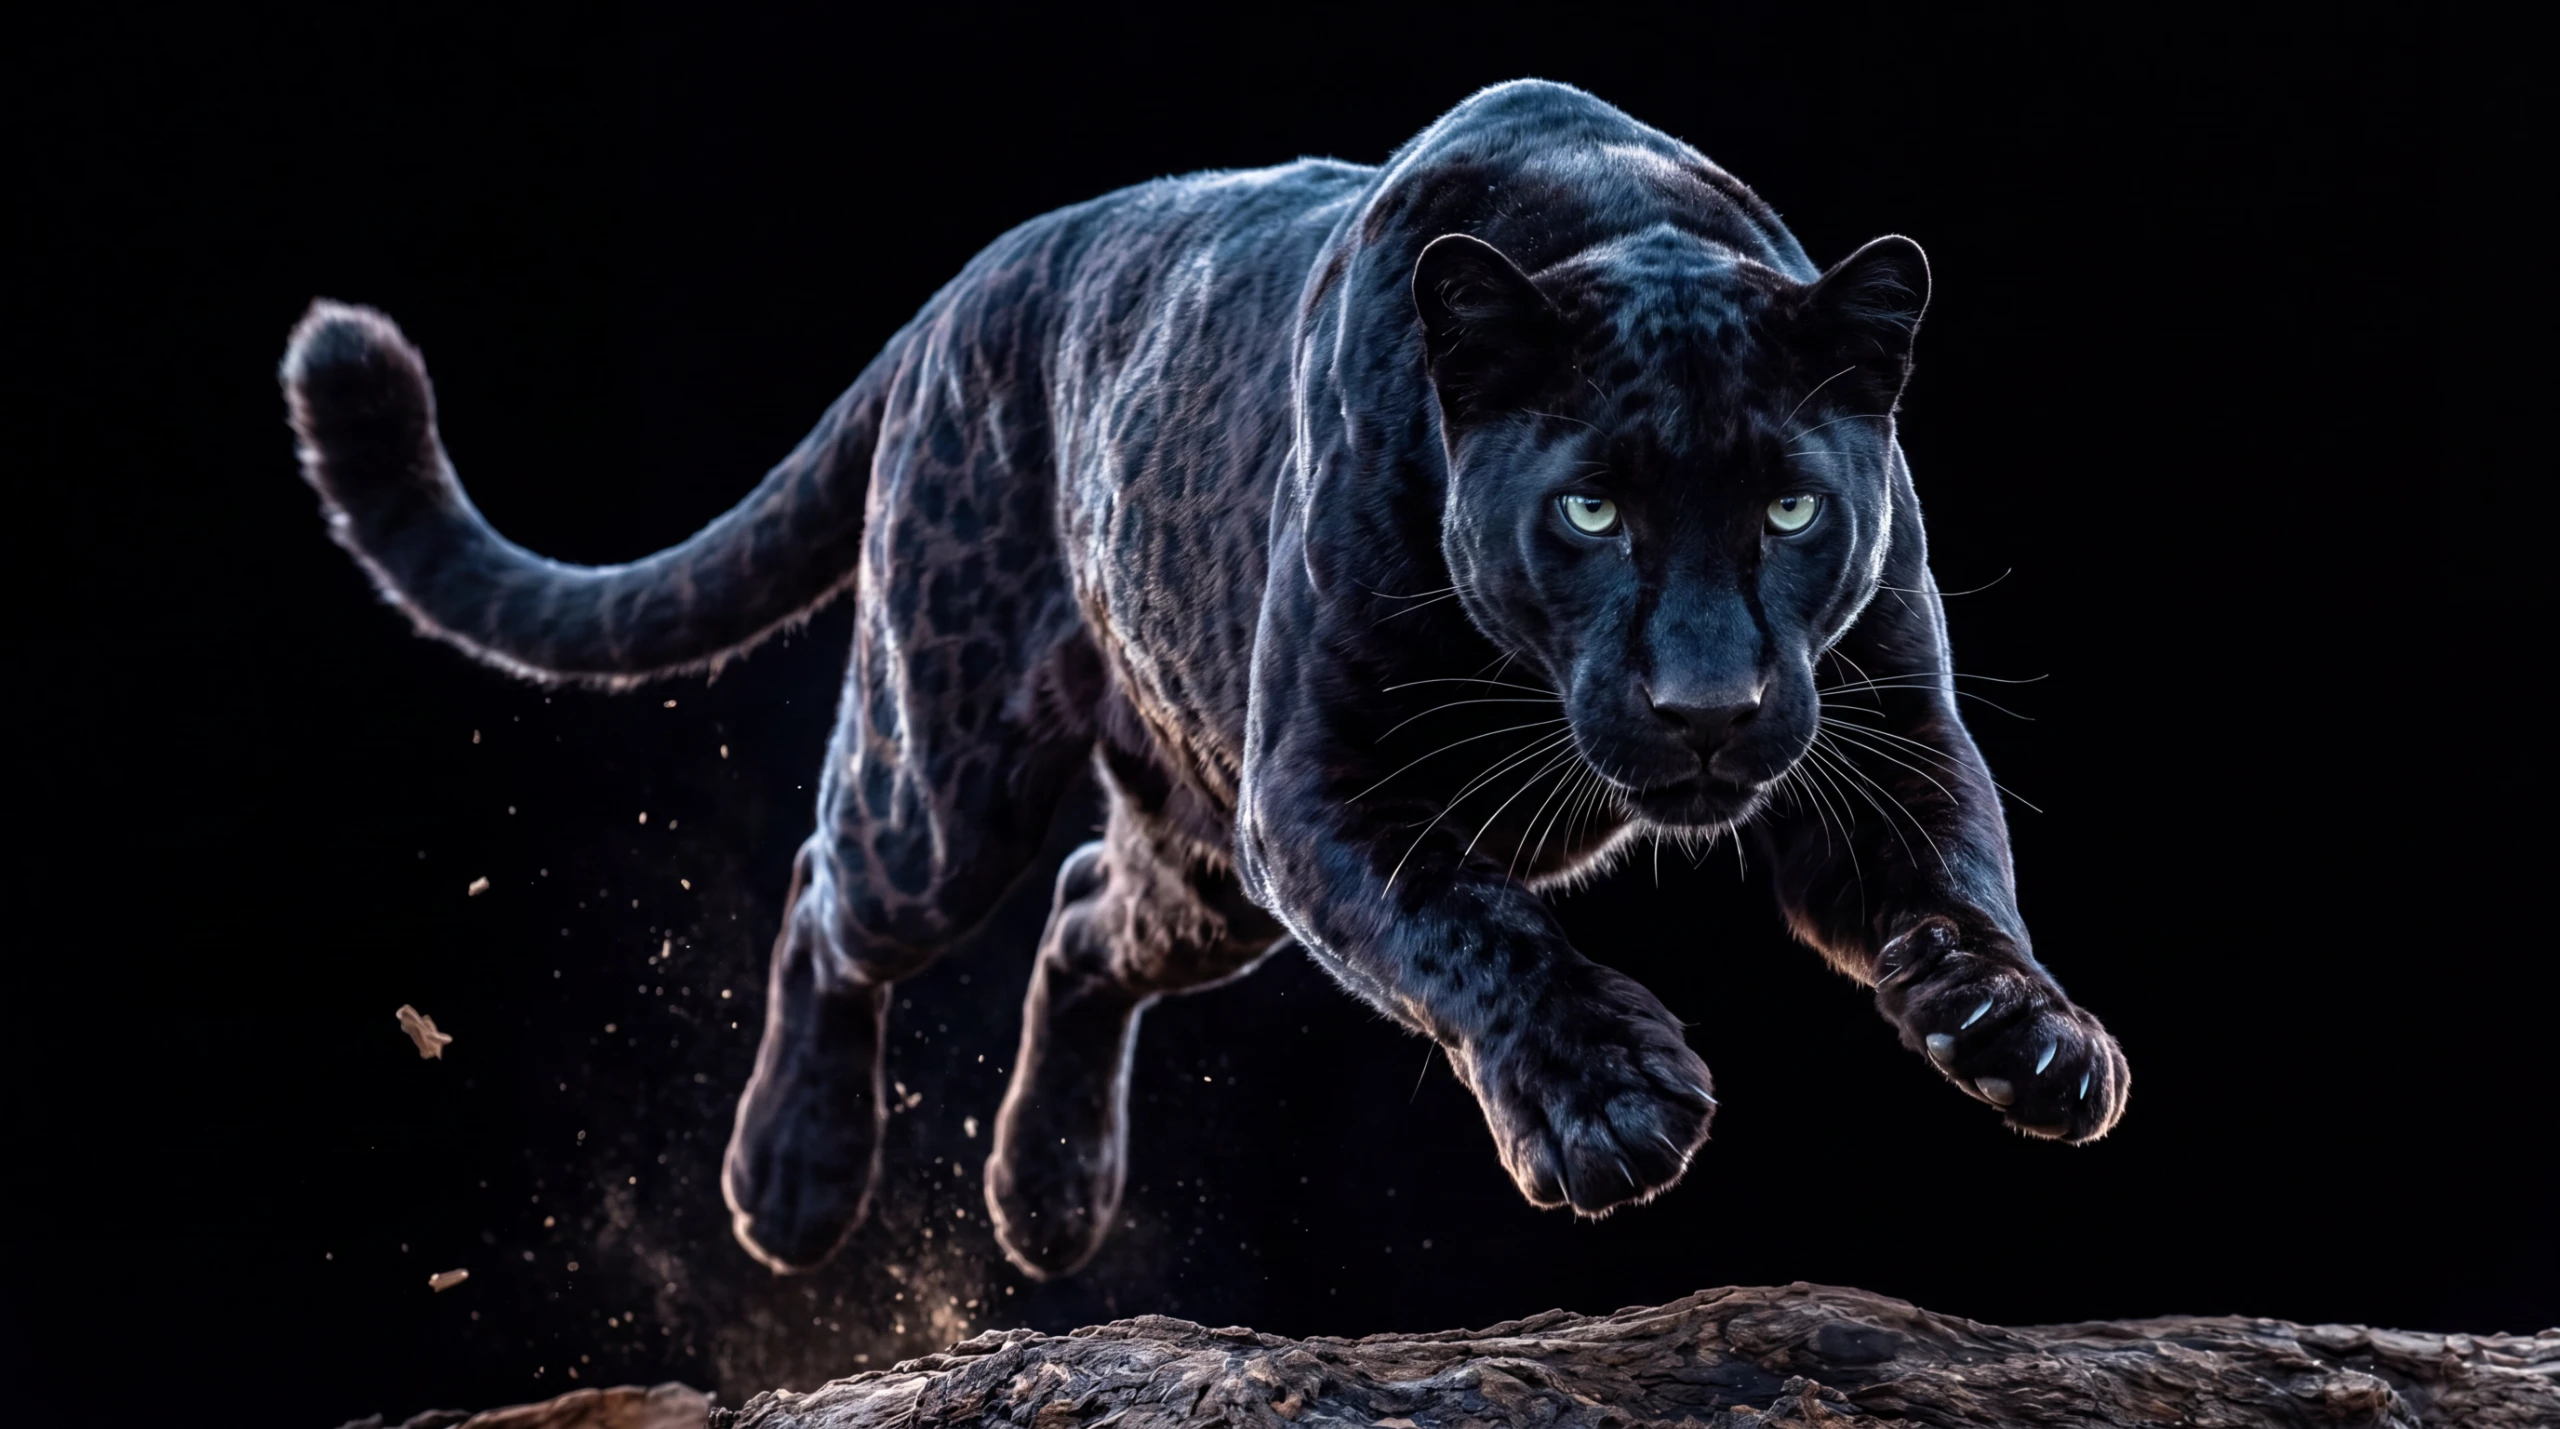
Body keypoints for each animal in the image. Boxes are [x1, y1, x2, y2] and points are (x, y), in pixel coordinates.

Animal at [280, 79, 2128, 1279]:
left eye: (1794, 509)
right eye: (1588, 509)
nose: (1706, 707)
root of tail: (970, 286)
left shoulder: (1884, 742)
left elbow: (1961, 888)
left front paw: (2026, 1037)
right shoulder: (1325, 795)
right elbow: (1474, 928)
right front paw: (1606, 1105)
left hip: (1201, 861)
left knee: (1088, 915)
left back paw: (1046, 1201)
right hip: (952, 775)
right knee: (835, 888)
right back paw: (794, 1180)